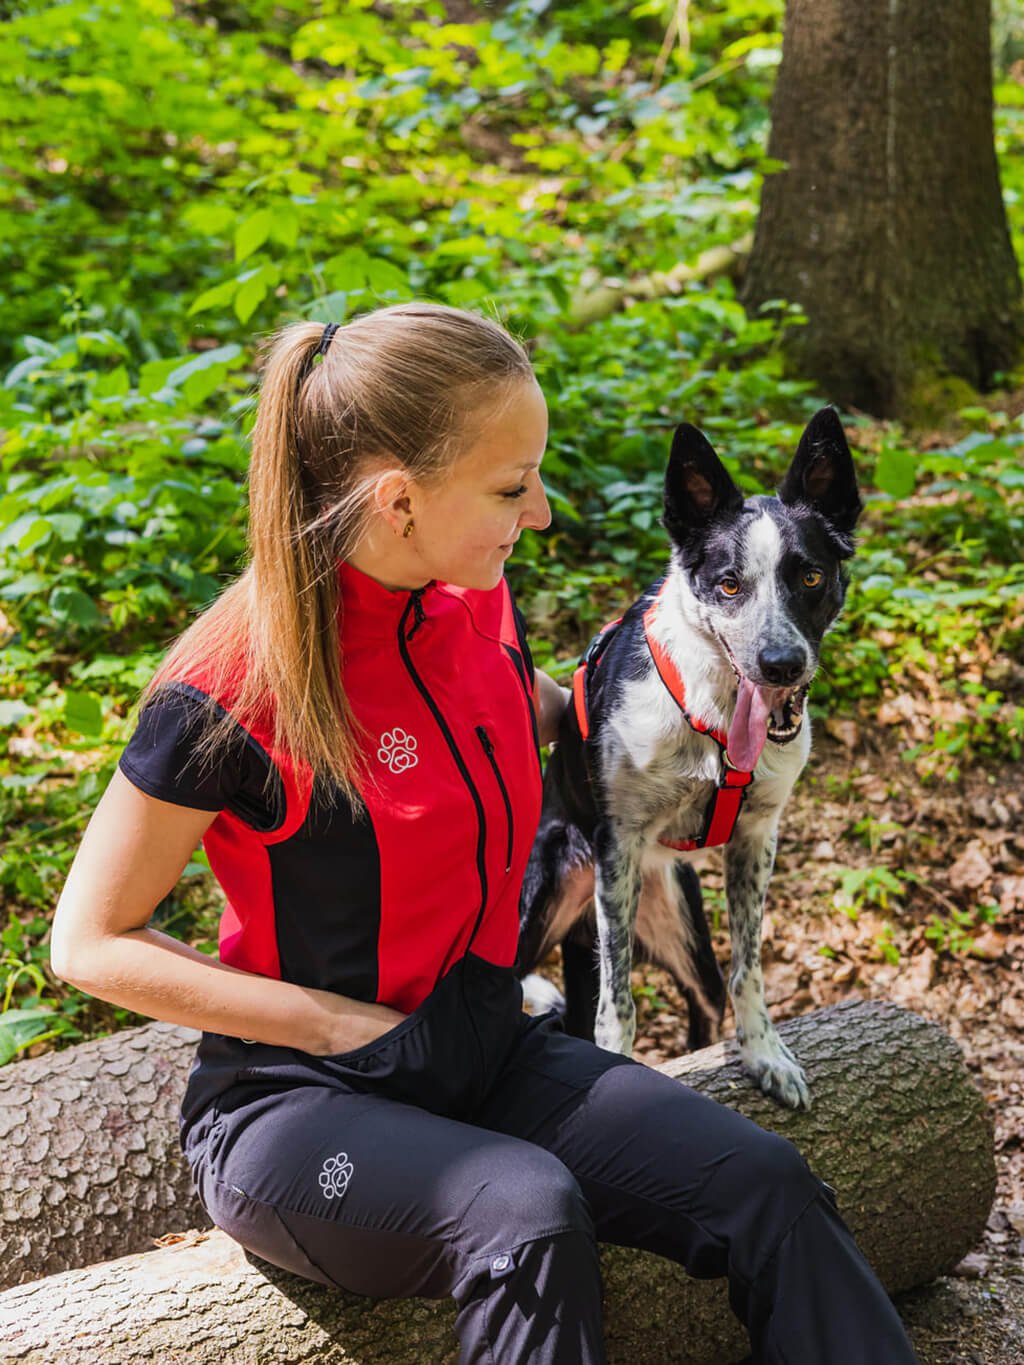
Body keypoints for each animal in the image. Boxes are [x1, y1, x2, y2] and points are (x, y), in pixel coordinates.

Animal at [516, 404, 862, 1108]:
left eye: (811, 577)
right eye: (728, 585)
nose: (780, 665)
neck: (715, 716)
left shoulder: (756, 837)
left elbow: (748, 968)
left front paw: (764, 1055)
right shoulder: (618, 844)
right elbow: (617, 1003)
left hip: (683, 926)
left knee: (702, 1004)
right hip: (546, 891)